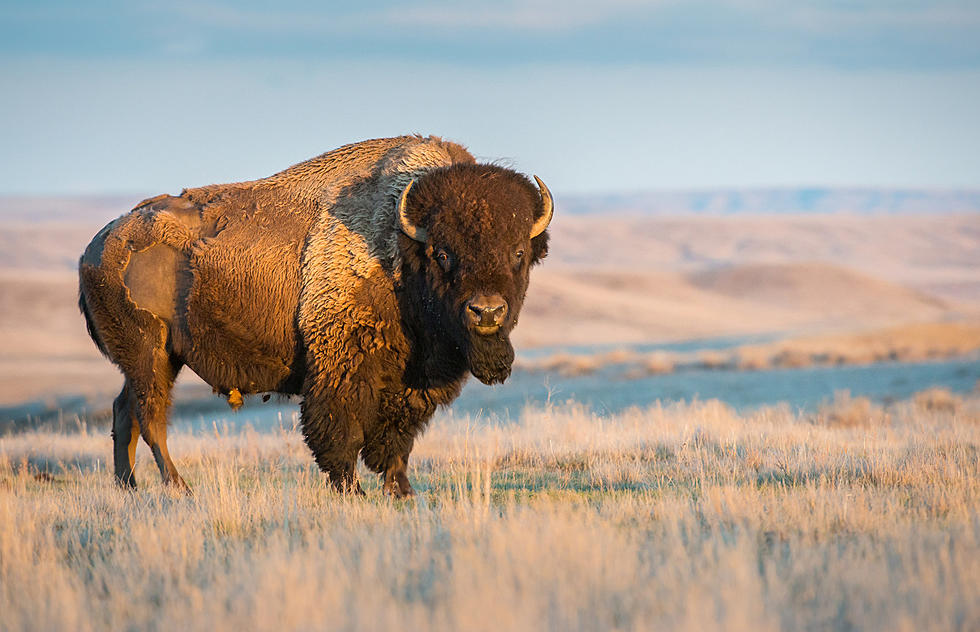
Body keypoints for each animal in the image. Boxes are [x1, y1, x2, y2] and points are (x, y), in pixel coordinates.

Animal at [78, 135, 552, 498]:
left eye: (518, 253)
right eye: (442, 253)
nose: (487, 311)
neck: (400, 246)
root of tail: (97, 246)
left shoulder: (411, 382)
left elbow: (397, 438)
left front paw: (401, 491)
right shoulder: (342, 364)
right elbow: (341, 430)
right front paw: (352, 491)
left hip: (154, 359)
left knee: (124, 411)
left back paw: (129, 487)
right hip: (150, 353)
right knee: (150, 417)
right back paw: (179, 487)